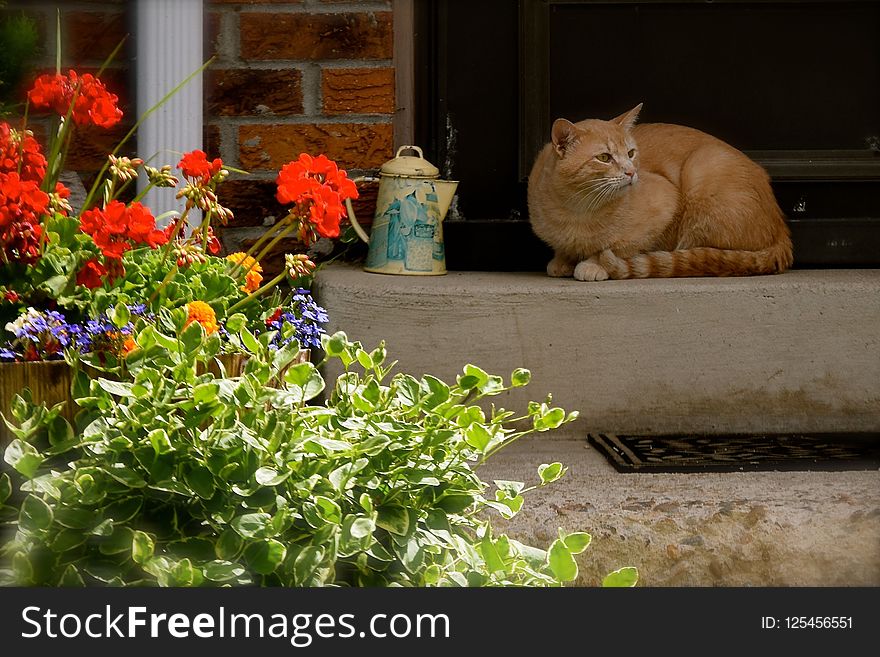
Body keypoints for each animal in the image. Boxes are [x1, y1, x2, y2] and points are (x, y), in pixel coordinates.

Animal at [524, 104, 796, 278]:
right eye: (604, 157)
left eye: (631, 153)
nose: (631, 172)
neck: (576, 211)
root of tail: (781, 230)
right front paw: (563, 260)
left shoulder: (665, 205)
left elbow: (618, 248)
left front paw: (594, 264)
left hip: (703, 170)